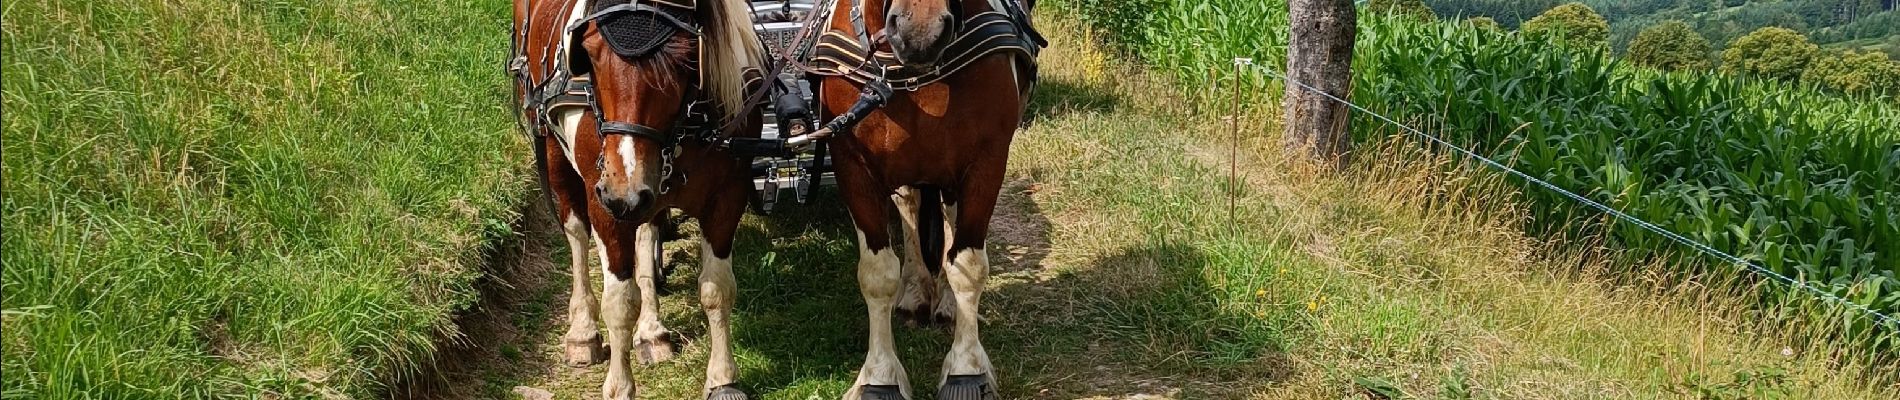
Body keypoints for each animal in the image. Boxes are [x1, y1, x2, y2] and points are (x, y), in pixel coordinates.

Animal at [516, 0, 767, 400]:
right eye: (589, 52)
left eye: (686, 58)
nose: (623, 192)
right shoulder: (605, 204)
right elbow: (620, 302)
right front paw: (619, 386)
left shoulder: (728, 194)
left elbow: (717, 288)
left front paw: (723, 379)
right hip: (553, 147)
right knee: (576, 233)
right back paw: (582, 332)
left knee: (647, 230)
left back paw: (651, 331)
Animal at [805, 0, 1041, 396]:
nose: (919, 34)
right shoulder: (852, 165)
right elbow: (877, 273)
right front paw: (880, 378)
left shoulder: (986, 161)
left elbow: (968, 265)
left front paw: (966, 371)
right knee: (910, 208)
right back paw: (915, 291)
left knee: (948, 220)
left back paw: (945, 302)